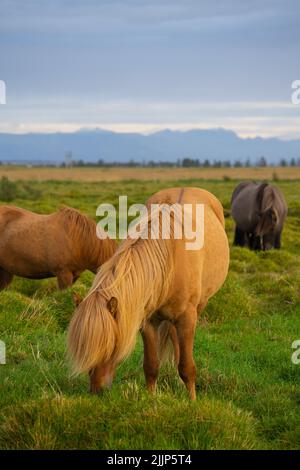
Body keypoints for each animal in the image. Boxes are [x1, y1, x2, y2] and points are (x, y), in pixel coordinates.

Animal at [67, 187, 229, 400]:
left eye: (111, 345)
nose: (97, 390)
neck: (169, 259)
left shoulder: (187, 318)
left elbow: (187, 367)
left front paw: (192, 401)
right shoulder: (148, 322)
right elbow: (151, 366)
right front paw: (150, 398)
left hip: (200, 305)